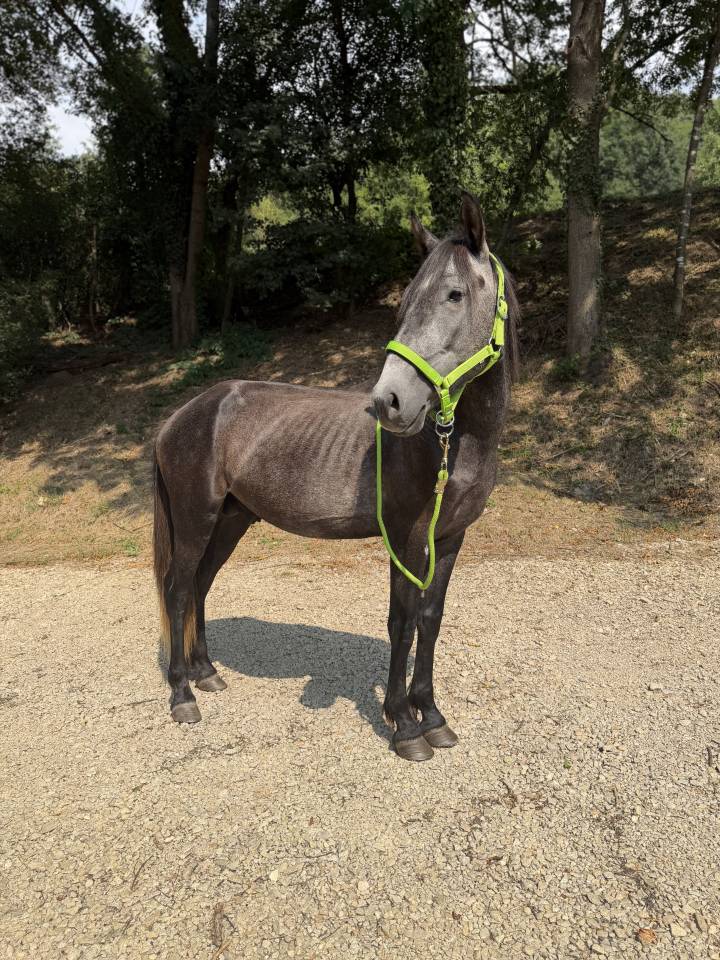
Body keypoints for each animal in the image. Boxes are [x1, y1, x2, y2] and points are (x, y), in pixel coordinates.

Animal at [152, 192, 519, 761]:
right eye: (405, 301)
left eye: (455, 294)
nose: (389, 401)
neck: (453, 445)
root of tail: (181, 416)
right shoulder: (406, 538)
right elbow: (402, 622)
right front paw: (405, 725)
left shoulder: (451, 538)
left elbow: (430, 620)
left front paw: (433, 716)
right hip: (196, 519)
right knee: (176, 588)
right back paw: (182, 695)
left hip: (231, 521)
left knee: (199, 584)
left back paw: (206, 672)